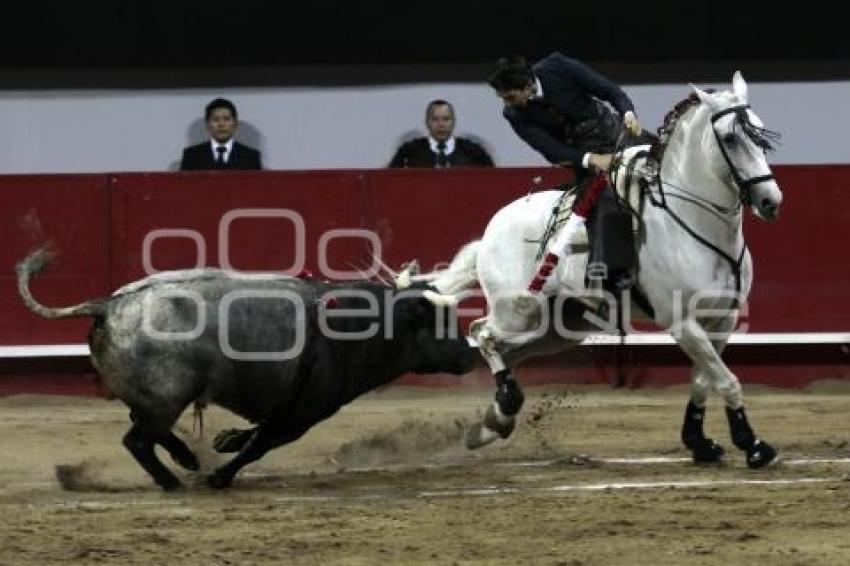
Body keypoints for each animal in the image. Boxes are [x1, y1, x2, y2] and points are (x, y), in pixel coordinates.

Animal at [16, 250, 474, 492]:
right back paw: (174, 480)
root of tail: (107, 305)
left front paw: (222, 443)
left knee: (147, 430)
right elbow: (261, 443)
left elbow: (252, 435)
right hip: (167, 397)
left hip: (159, 398)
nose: (471, 354)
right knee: (138, 440)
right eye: (441, 324)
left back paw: (187, 459)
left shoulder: (287, 408)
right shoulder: (304, 414)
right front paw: (221, 476)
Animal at [418, 72, 780, 470]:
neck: (695, 219)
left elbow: (705, 380)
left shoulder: (722, 318)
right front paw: (754, 445)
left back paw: (493, 421)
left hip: (561, 326)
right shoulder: (682, 322)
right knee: (482, 333)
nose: (770, 201)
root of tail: (490, 232)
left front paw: (700, 442)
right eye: (730, 138)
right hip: (516, 311)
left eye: (760, 132)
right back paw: (502, 409)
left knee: (507, 352)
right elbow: (726, 379)